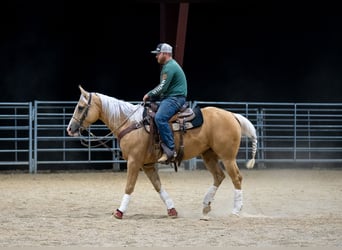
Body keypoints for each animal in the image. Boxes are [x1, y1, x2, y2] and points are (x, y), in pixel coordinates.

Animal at [66, 85, 256, 219]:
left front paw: (119, 212)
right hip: (208, 155)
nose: (70, 129)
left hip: (228, 157)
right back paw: (206, 205)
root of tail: (232, 115)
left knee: (236, 178)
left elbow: (129, 186)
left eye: (81, 107)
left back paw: (236, 210)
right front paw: (172, 210)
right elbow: (158, 186)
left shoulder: (134, 161)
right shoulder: (147, 165)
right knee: (219, 176)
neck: (132, 123)